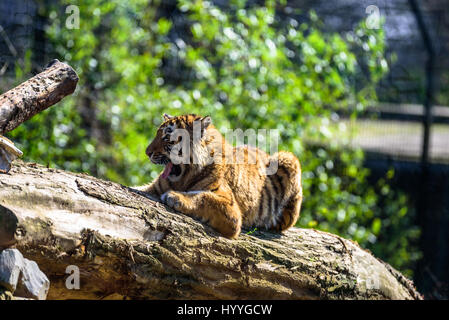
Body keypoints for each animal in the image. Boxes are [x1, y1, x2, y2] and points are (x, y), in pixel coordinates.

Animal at [133, 114, 300, 239]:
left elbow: (203, 197)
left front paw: (174, 197)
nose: (147, 153)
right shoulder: (152, 188)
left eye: (167, 137)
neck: (183, 177)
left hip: (288, 158)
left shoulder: (229, 207)